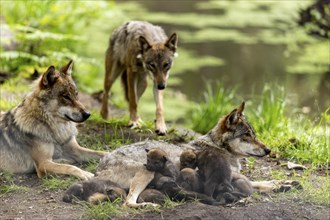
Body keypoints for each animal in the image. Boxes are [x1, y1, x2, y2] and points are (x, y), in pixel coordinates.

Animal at [94, 102, 300, 207]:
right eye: (247, 135)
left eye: (254, 134)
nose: (268, 150)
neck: (220, 147)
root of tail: (100, 168)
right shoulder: (231, 178)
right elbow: (259, 184)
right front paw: (282, 185)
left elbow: (265, 181)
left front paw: (286, 182)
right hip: (146, 172)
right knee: (128, 202)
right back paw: (147, 206)